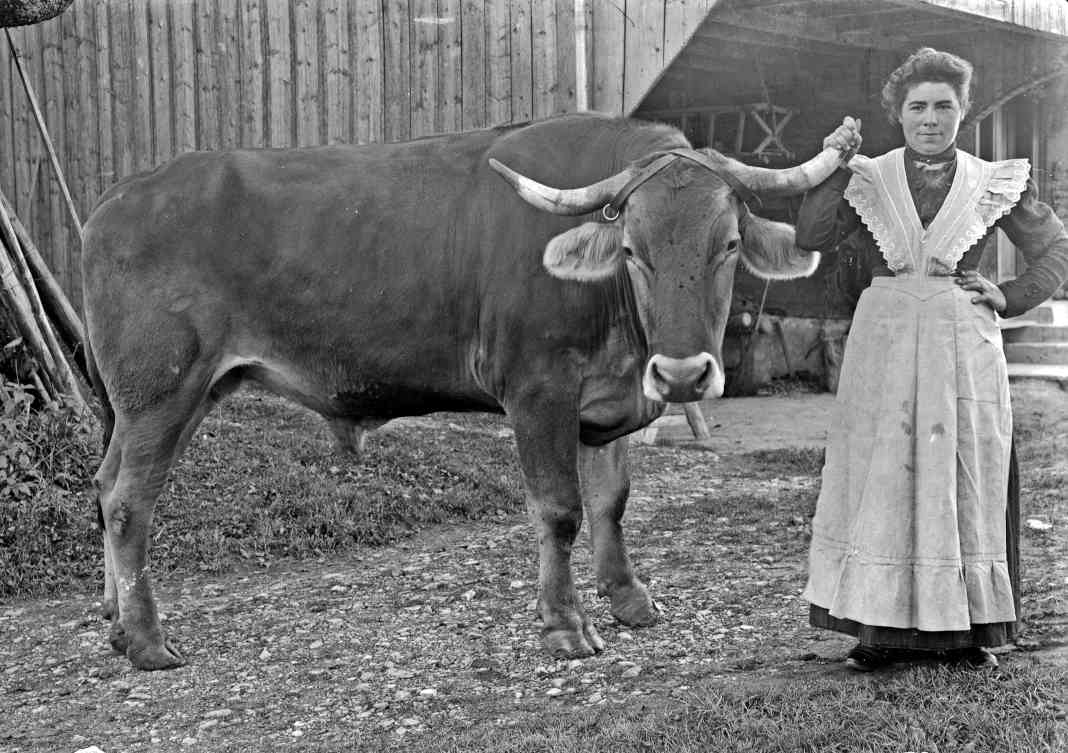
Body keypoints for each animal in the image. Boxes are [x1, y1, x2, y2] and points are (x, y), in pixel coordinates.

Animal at [83, 108, 845, 666]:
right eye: (633, 249)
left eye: (729, 244)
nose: (683, 373)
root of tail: (118, 198)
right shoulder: (539, 391)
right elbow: (561, 510)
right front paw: (564, 625)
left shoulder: (604, 402)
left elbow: (612, 501)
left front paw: (630, 600)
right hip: (161, 391)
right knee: (127, 503)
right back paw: (148, 643)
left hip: (165, 399)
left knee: (104, 482)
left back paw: (116, 620)